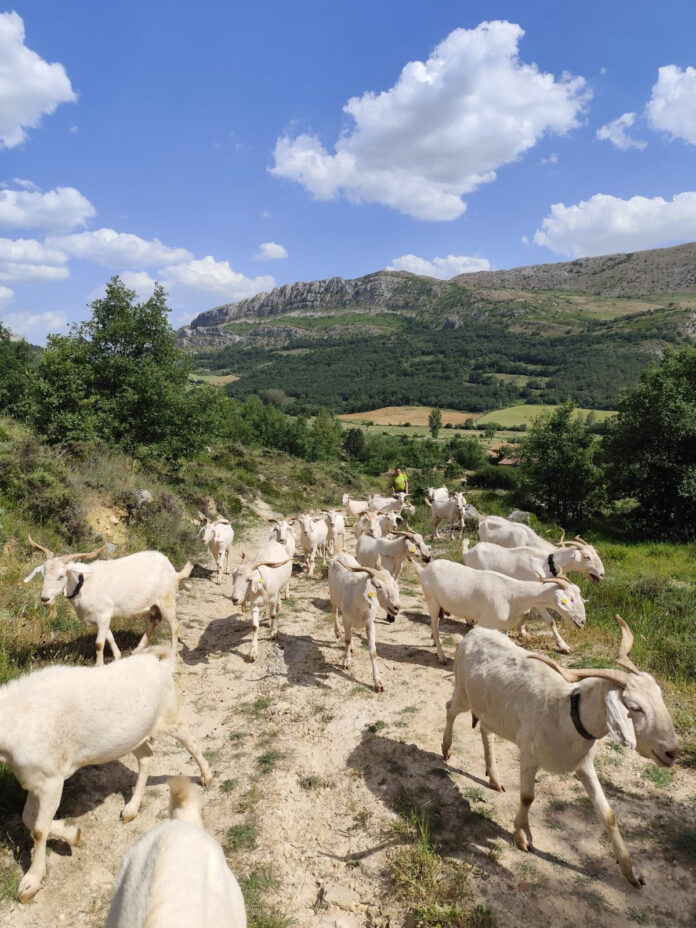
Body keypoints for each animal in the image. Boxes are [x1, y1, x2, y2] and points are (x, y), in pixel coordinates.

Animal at [0, 648, 211, 902]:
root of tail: (160, 663)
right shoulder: (34, 778)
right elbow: (29, 819)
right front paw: (73, 834)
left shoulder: (52, 779)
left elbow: (40, 829)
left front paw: (30, 883)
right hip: (135, 736)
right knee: (146, 757)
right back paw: (131, 809)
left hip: (171, 716)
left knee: (191, 744)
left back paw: (206, 776)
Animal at [24, 536, 191, 665]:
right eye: (43, 574)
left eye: (61, 576)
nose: (45, 598)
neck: (84, 585)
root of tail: (174, 571)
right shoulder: (102, 617)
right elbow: (109, 636)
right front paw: (117, 656)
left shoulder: (103, 615)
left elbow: (99, 644)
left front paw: (98, 665)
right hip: (149, 605)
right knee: (152, 622)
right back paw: (137, 650)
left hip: (167, 600)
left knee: (174, 626)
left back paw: (172, 653)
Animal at [328, 554, 400, 692]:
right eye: (378, 586)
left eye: (394, 583)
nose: (396, 607)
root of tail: (340, 554)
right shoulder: (346, 619)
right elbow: (347, 640)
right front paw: (346, 662)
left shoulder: (369, 623)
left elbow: (373, 651)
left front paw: (378, 683)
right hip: (332, 595)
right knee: (334, 611)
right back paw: (337, 632)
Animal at [412, 559, 585, 661]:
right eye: (570, 599)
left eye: (579, 595)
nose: (582, 622)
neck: (512, 594)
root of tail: (424, 570)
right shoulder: (485, 622)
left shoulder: (503, 627)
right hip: (432, 602)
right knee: (435, 626)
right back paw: (441, 656)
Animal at [442, 617, 679, 887]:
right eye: (634, 707)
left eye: (660, 696)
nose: (672, 752)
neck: (566, 712)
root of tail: (474, 633)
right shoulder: (529, 755)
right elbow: (527, 797)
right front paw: (523, 836)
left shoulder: (584, 765)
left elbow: (607, 814)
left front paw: (632, 872)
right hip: (463, 691)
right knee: (450, 708)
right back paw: (446, 749)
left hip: (490, 710)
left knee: (486, 730)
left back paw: (494, 778)